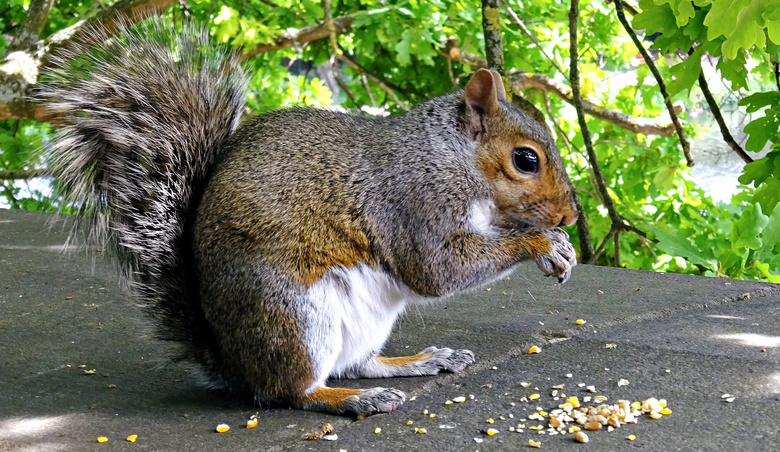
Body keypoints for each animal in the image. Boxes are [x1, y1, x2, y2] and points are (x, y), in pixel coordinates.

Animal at [42, 20, 580, 416]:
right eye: (526, 160)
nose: (571, 215)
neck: (452, 158)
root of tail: (232, 362)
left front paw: (558, 244)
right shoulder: (414, 204)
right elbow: (438, 269)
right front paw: (542, 243)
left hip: (361, 324)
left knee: (357, 364)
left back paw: (418, 362)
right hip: (295, 314)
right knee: (292, 391)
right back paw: (352, 400)